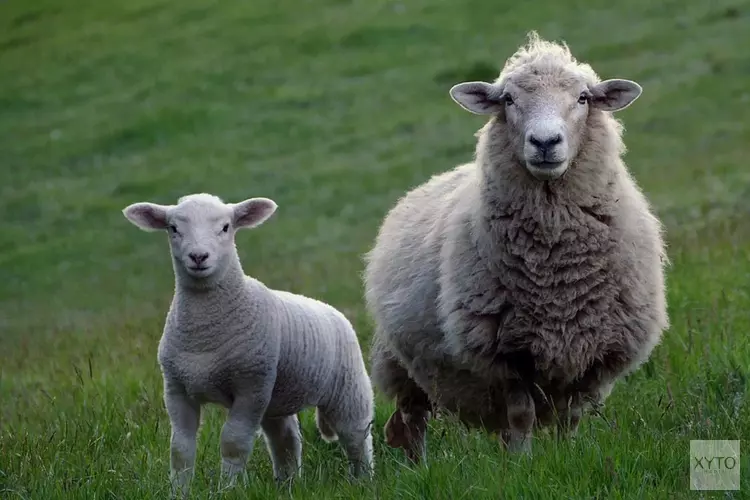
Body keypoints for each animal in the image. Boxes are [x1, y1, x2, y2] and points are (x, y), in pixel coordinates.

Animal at [122, 192, 376, 496]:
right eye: (173, 228)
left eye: (225, 227)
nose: (198, 257)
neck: (204, 334)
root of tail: (331, 310)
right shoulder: (176, 388)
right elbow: (180, 449)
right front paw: (178, 492)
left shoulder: (250, 386)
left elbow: (233, 442)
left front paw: (227, 490)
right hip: (276, 398)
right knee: (285, 440)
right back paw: (287, 484)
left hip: (347, 387)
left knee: (357, 435)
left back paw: (363, 481)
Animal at [364, 30, 668, 460]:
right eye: (508, 99)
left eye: (583, 98)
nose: (544, 142)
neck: (557, 269)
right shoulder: (506, 354)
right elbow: (522, 415)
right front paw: (523, 463)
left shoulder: (593, 353)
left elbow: (570, 417)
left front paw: (565, 456)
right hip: (401, 363)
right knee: (413, 419)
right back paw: (419, 466)